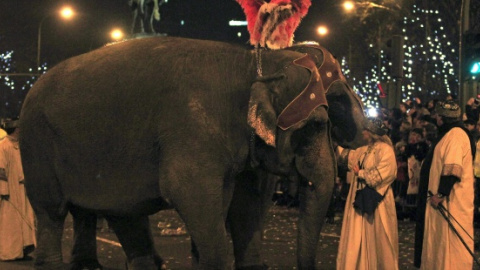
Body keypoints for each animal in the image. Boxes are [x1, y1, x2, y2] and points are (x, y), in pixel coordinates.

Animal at [17, 36, 364, 270]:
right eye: (317, 125)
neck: (252, 64)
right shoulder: (191, 128)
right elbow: (191, 194)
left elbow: (242, 203)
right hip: (36, 143)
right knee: (52, 211)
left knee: (112, 212)